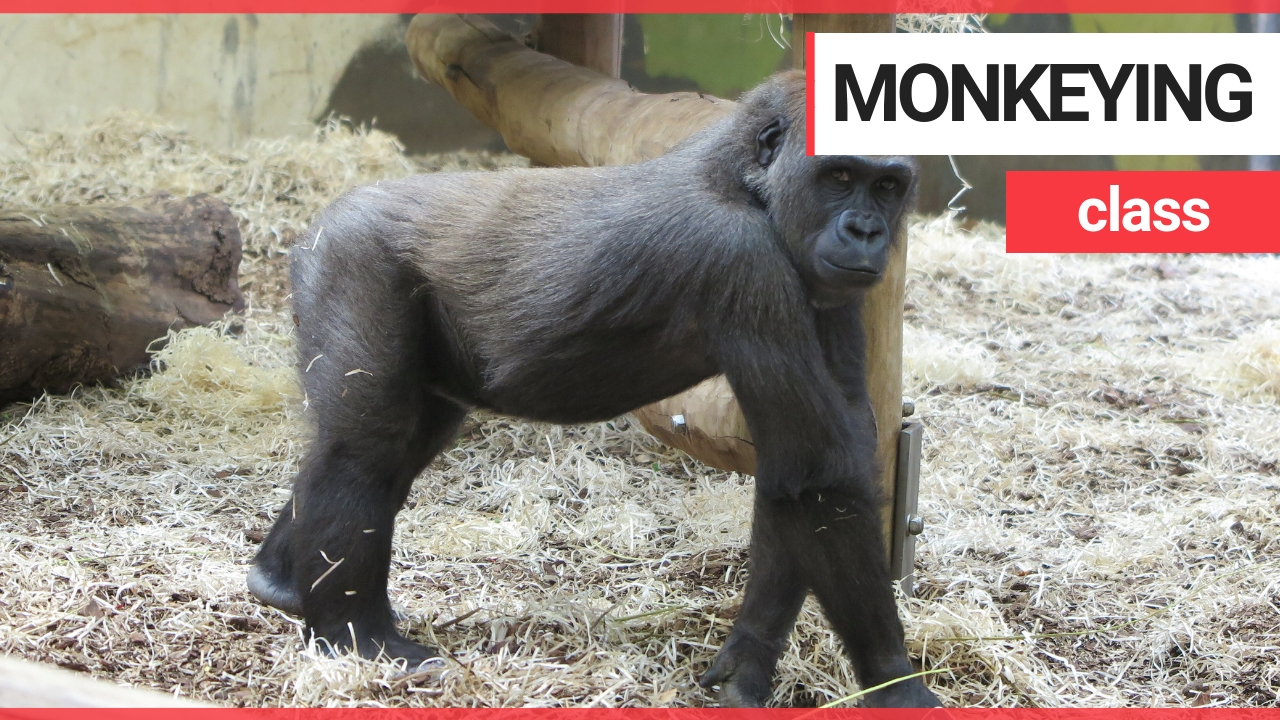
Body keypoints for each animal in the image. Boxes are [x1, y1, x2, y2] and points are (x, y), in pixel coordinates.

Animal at [249, 71, 936, 707]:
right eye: (840, 176)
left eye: (888, 186)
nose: (867, 232)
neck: (743, 176)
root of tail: (324, 219)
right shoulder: (741, 257)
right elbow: (820, 474)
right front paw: (896, 683)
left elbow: (806, 467)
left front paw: (747, 663)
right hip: (349, 258)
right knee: (367, 447)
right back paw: (355, 635)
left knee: (405, 440)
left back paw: (281, 582)